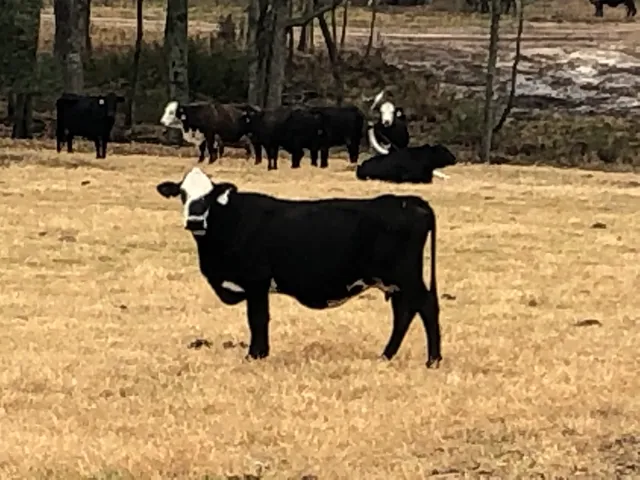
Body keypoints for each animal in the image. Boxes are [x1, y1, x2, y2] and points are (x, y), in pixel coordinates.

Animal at [156, 167, 442, 368]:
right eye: (183, 194)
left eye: (209, 197)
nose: (194, 221)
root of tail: (411, 201)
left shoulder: (257, 282)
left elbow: (258, 318)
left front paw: (255, 355)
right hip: (395, 281)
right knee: (404, 312)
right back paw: (386, 355)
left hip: (405, 276)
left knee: (425, 306)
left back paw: (433, 360)